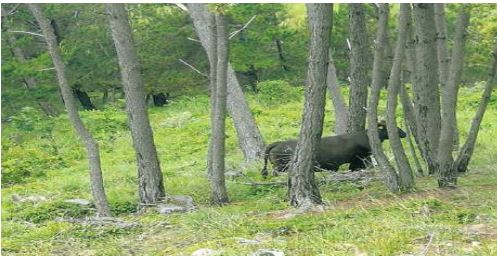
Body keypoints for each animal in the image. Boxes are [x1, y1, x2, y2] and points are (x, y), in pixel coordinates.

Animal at [262, 123, 404, 177]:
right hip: (280, 167)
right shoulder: (356, 160)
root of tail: (277, 143)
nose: (405, 133)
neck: (363, 137)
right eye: (395, 128)